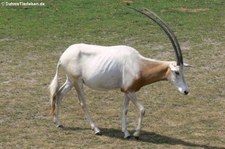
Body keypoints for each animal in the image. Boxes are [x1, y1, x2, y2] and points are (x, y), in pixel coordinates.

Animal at [48, 7, 190, 139]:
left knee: (59, 94)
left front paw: (126, 133)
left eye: (183, 71)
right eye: (176, 72)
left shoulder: (127, 90)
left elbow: (125, 109)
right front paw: (136, 134)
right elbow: (142, 109)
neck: (138, 64)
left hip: (70, 80)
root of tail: (63, 55)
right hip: (77, 81)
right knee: (82, 103)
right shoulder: (130, 91)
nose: (186, 91)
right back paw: (96, 129)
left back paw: (58, 123)